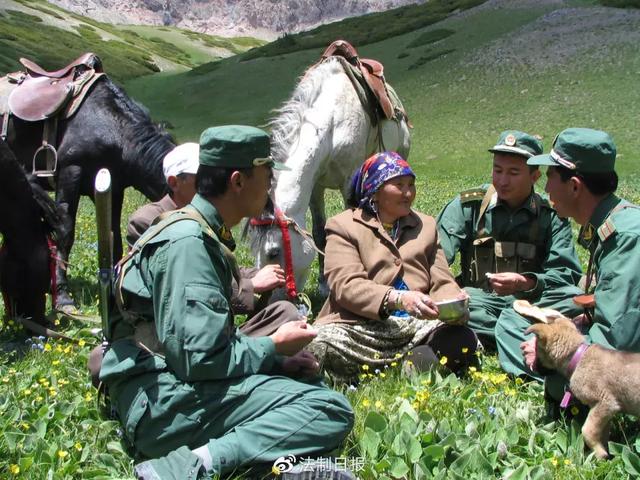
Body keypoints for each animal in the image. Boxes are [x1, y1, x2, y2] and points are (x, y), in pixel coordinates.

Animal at [248, 55, 412, 300]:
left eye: (273, 252)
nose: (270, 300)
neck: (332, 125)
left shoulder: (348, 182)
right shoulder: (315, 188)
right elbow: (319, 233)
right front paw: (324, 285)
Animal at [524, 314, 640, 460]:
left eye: (537, 351)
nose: (533, 367)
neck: (577, 357)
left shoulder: (605, 403)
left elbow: (587, 430)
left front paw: (600, 454)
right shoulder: (603, 412)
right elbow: (602, 433)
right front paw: (600, 454)